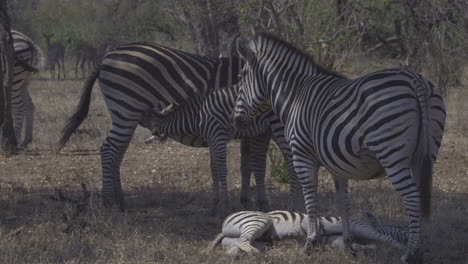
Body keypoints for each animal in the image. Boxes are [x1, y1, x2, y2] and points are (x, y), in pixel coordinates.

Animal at [56, 41, 243, 210]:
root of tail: (105, 58)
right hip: (126, 109)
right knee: (109, 149)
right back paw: (109, 201)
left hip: (125, 115)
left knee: (117, 152)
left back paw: (120, 201)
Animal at [139, 85, 302, 217]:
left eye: (145, 117)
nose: (137, 118)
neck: (197, 116)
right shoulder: (211, 139)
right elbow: (214, 169)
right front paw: (213, 207)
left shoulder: (218, 136)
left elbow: (222, 170)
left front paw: (225, 208)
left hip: (279, 127)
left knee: (292, 162)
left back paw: (293, 206)